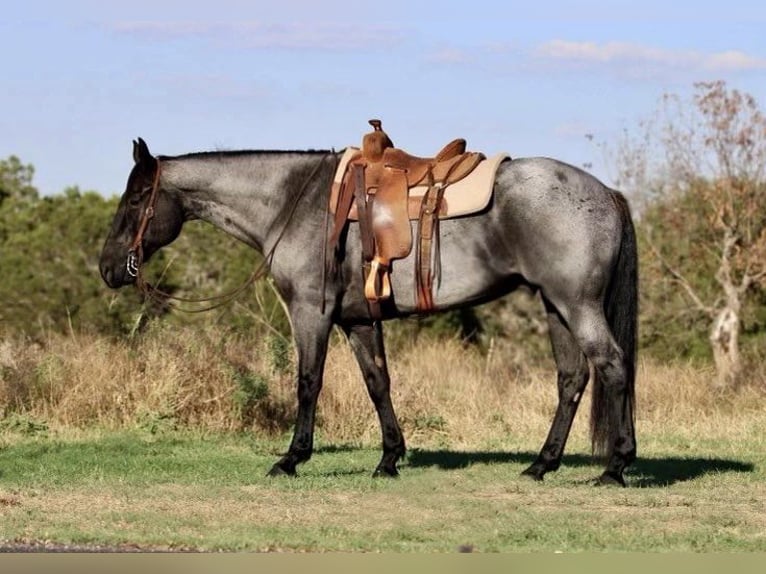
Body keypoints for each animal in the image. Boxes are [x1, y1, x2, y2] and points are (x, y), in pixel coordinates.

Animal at [102, 137, 640, 488]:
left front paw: (291, 459)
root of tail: (606, 193)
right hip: (555, 305)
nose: (108, 268)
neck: (295, 203)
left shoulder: (311, 312)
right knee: (572, 378)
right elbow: (378, 382)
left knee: (613, 366)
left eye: (136, 198)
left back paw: (615, 466)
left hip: (576, 304)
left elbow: (308, 382)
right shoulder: (359, 320)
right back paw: (541, 465)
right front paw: (389, 459)